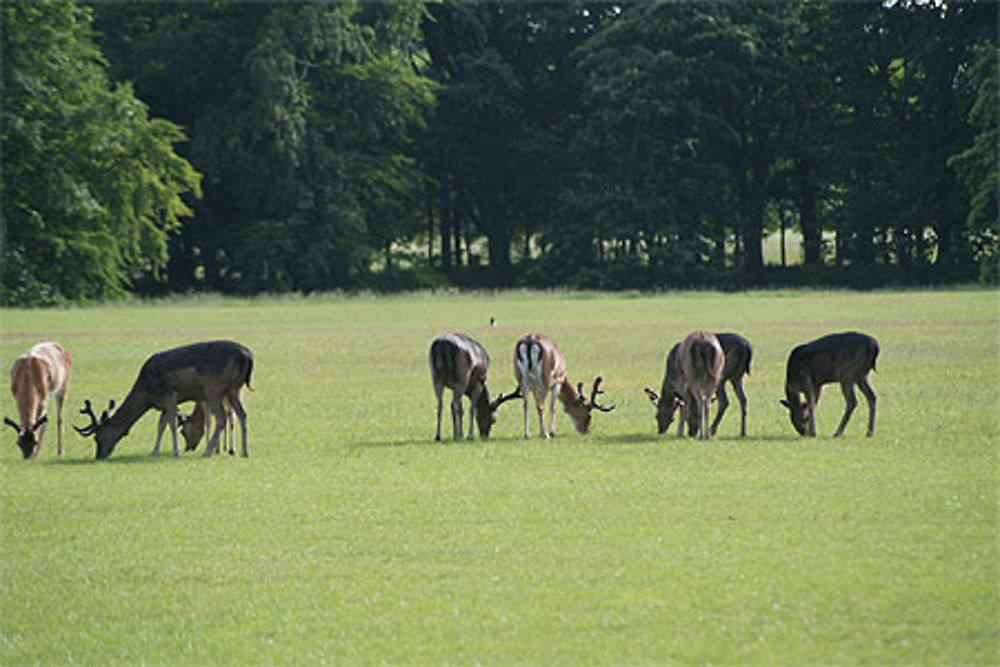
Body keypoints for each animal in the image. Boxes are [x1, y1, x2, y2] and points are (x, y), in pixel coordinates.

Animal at [74, 340, 252, 460]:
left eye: (97, 437)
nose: (98, 456)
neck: (147, 394)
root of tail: (248, 356)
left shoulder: (170, 395)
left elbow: (171, 424)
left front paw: (175, 452)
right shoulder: (163, 404)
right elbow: (160, 426)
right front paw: (154, 451)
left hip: (213, 390)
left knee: (222, 418)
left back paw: (207, 452)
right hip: (233, 390)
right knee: (242, 414)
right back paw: (244, 451)